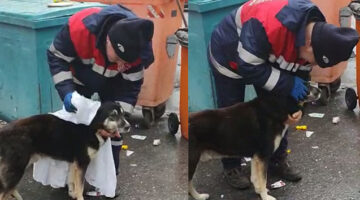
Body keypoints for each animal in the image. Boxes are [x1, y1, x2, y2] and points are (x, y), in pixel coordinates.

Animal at [0, 102, 131, 199]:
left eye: (123, 114)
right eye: (113, 115)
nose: (128, 126)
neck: (94, 131)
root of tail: (3, 132)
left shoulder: (74, 164)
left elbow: (73, 183)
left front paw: (72, 194)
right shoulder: (82, 163)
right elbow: (80, 187)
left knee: (10, 188)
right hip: (16, 168)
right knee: (5, 191)